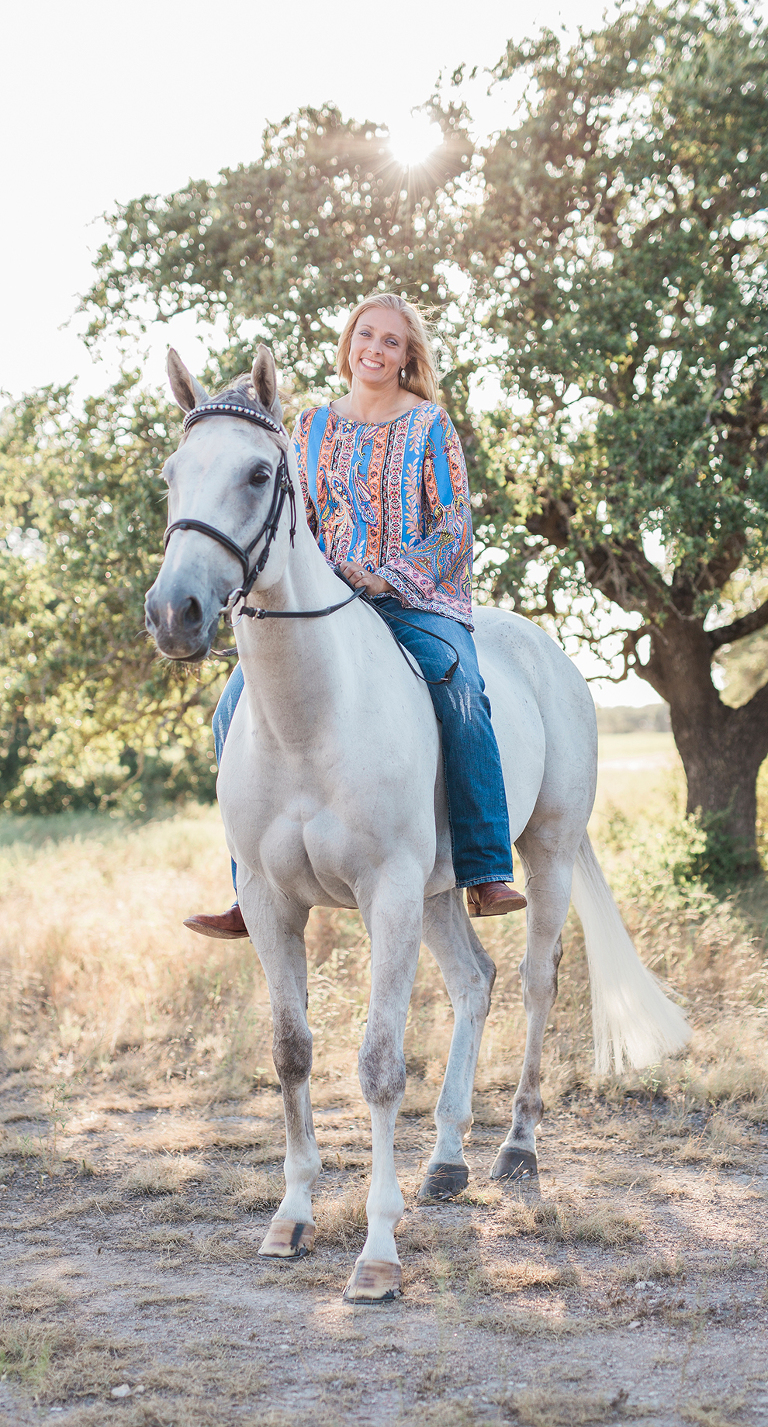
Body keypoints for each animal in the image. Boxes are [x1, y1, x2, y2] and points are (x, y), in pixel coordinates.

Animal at [144, 345, 690, 1303]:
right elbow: (292, 1051)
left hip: (541, 856)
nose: (175, 613)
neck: (308, 716)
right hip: (439, 893)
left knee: (537, 982)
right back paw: (445, 1161)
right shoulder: (274, 905)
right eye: (171, 475)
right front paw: (290, 1217)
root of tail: (553, 656)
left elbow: (378, 1062)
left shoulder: (386, 894)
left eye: (257, 474)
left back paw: (516, 1149)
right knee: (475, 982)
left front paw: (377, 1252)